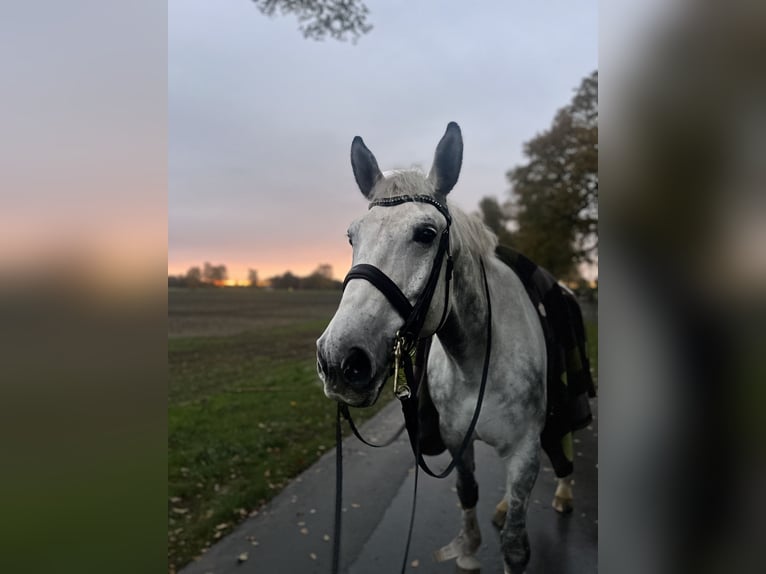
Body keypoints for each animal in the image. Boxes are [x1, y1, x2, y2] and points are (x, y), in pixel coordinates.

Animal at [316, 122, 575, 574]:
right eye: (351, 236)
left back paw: (562, 492)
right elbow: (468, 492)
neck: (476, 362)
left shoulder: (525, 451)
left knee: (562, 446)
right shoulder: (458, 440)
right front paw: (469, 548)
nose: (339, 359)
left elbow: (515, 547)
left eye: (425, 234)